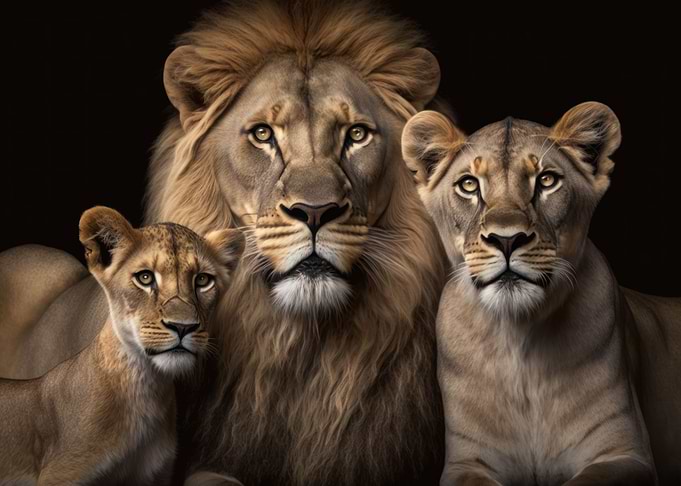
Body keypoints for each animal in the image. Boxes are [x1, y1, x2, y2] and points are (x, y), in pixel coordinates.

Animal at [402, 102, 681, 485]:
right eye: (469, 185)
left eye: (546, 180)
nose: (506, 239)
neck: (519, 341)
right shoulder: (467, 463)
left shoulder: (625, 454)